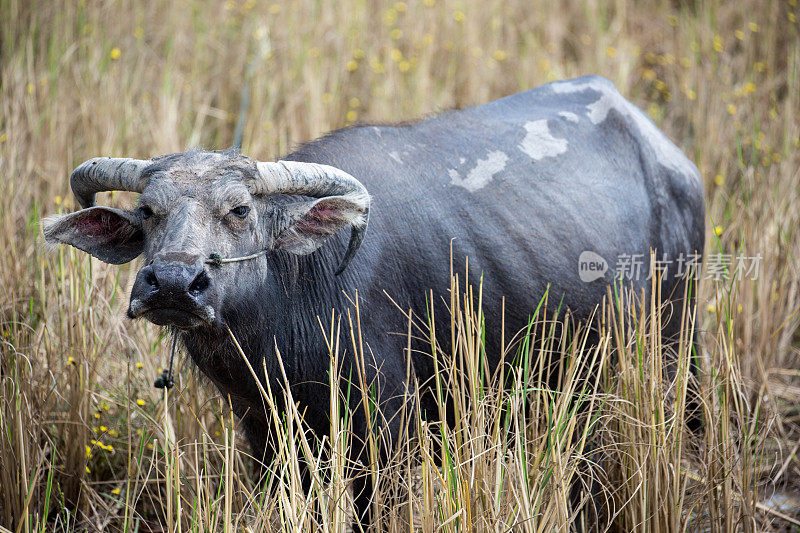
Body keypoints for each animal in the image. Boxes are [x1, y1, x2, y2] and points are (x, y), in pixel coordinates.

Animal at [45, 76, 708, 528]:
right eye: (147, 212)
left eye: (239, 210)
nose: (174, 284)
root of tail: (673, 161)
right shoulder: (265, 436)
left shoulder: (387, 438)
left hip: (673, 346)